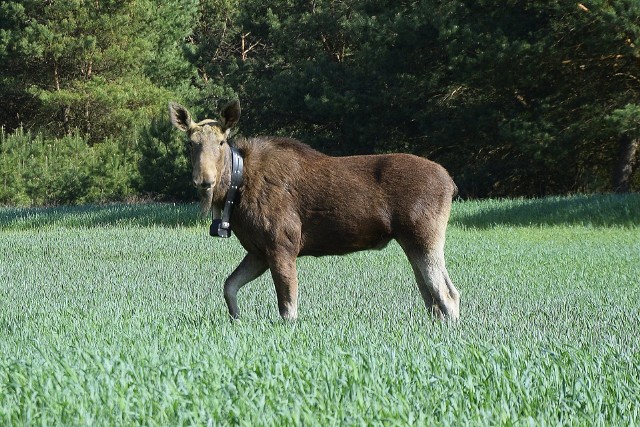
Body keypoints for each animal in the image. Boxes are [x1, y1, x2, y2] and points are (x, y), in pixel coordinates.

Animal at [170, 100, 460, 320]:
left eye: (221, 142)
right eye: (190, 143)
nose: (204, 179)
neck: (236, 191)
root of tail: (451, 183)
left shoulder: (282, 243)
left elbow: (288, 308)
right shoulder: (258, 251)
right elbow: (229, 286)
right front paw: (236, 319)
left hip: (424, 236)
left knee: (447, 294)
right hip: (410, 241)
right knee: (433, 295)